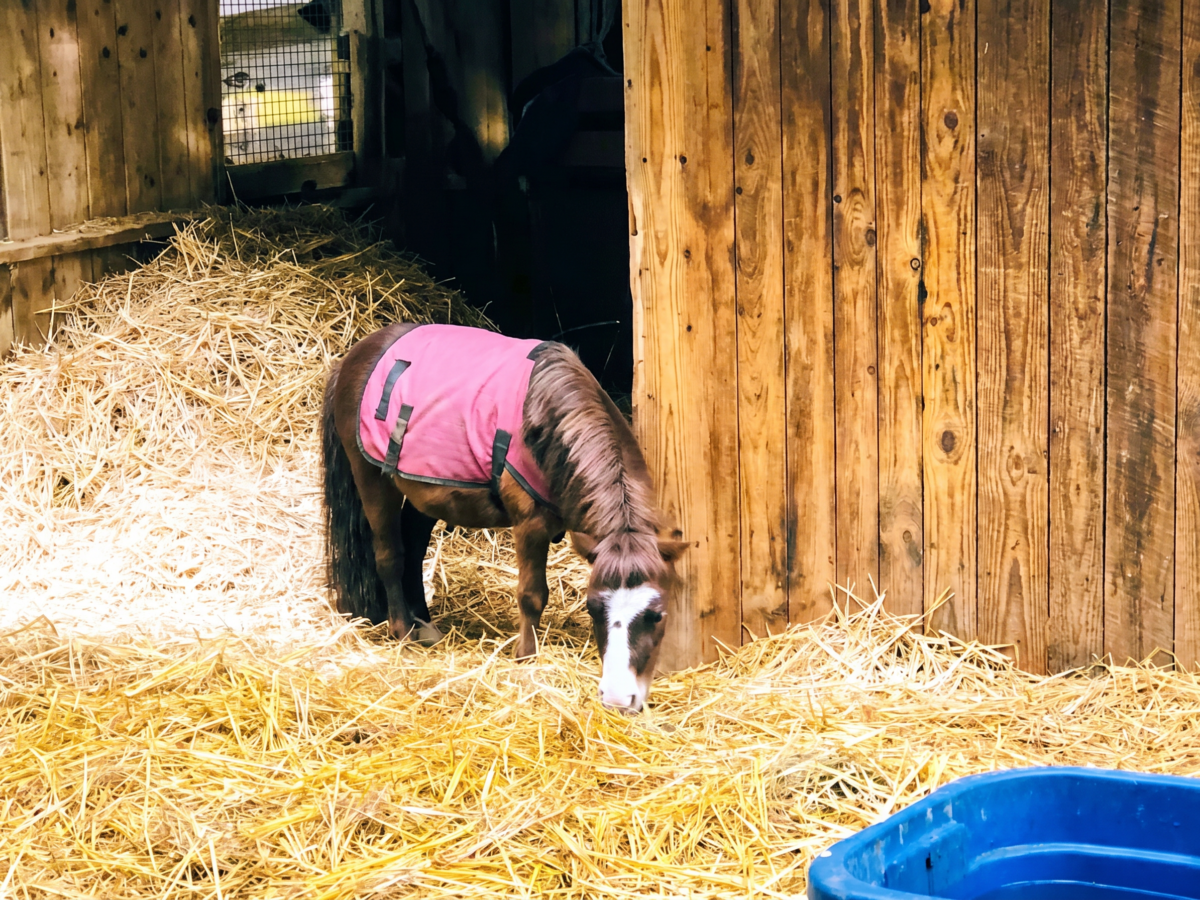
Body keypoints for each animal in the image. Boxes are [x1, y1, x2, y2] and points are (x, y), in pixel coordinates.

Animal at [320, 322, 689, 712]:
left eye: (657, 615)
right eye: (592, 608)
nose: (619, 698)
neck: (547, 424)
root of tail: (354, 356)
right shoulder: (530, 525)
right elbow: (532, 595)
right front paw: (526, 657)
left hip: (425, 492)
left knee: (414, 551)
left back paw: (426, 626)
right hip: (372, 479)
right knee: (390, 556)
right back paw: (403, 631)